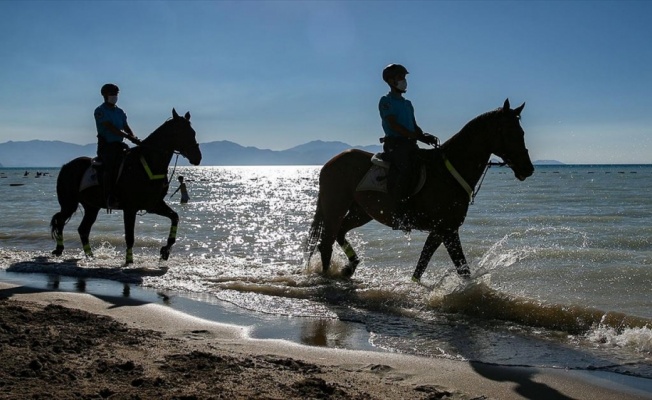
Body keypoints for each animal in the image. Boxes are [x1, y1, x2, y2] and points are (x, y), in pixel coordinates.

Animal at [50, 109, 201, 264]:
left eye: (193, 132)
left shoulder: (154, 204)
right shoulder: (130, 208)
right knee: (60, 221)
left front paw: (165, 250)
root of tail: (66, 166)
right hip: (69, 204)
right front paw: (129, 261)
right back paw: (59, 250)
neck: (148, 163)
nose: (197, 157)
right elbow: (130, 236)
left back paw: (90, 256)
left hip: (91, 207)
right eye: (181, 133)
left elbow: (174, 217)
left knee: (83, 229)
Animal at [306, 99, 536, 282]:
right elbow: (462, 269)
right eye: (510, 133)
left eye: (522, 132)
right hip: (335, 207)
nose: (528, 169)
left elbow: (422, 265)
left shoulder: (439, 231)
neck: (448, 171)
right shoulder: (448, 230)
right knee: (326, 243)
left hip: (361, 212)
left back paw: (349, 268)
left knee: (339, 233)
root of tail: (329, 164)